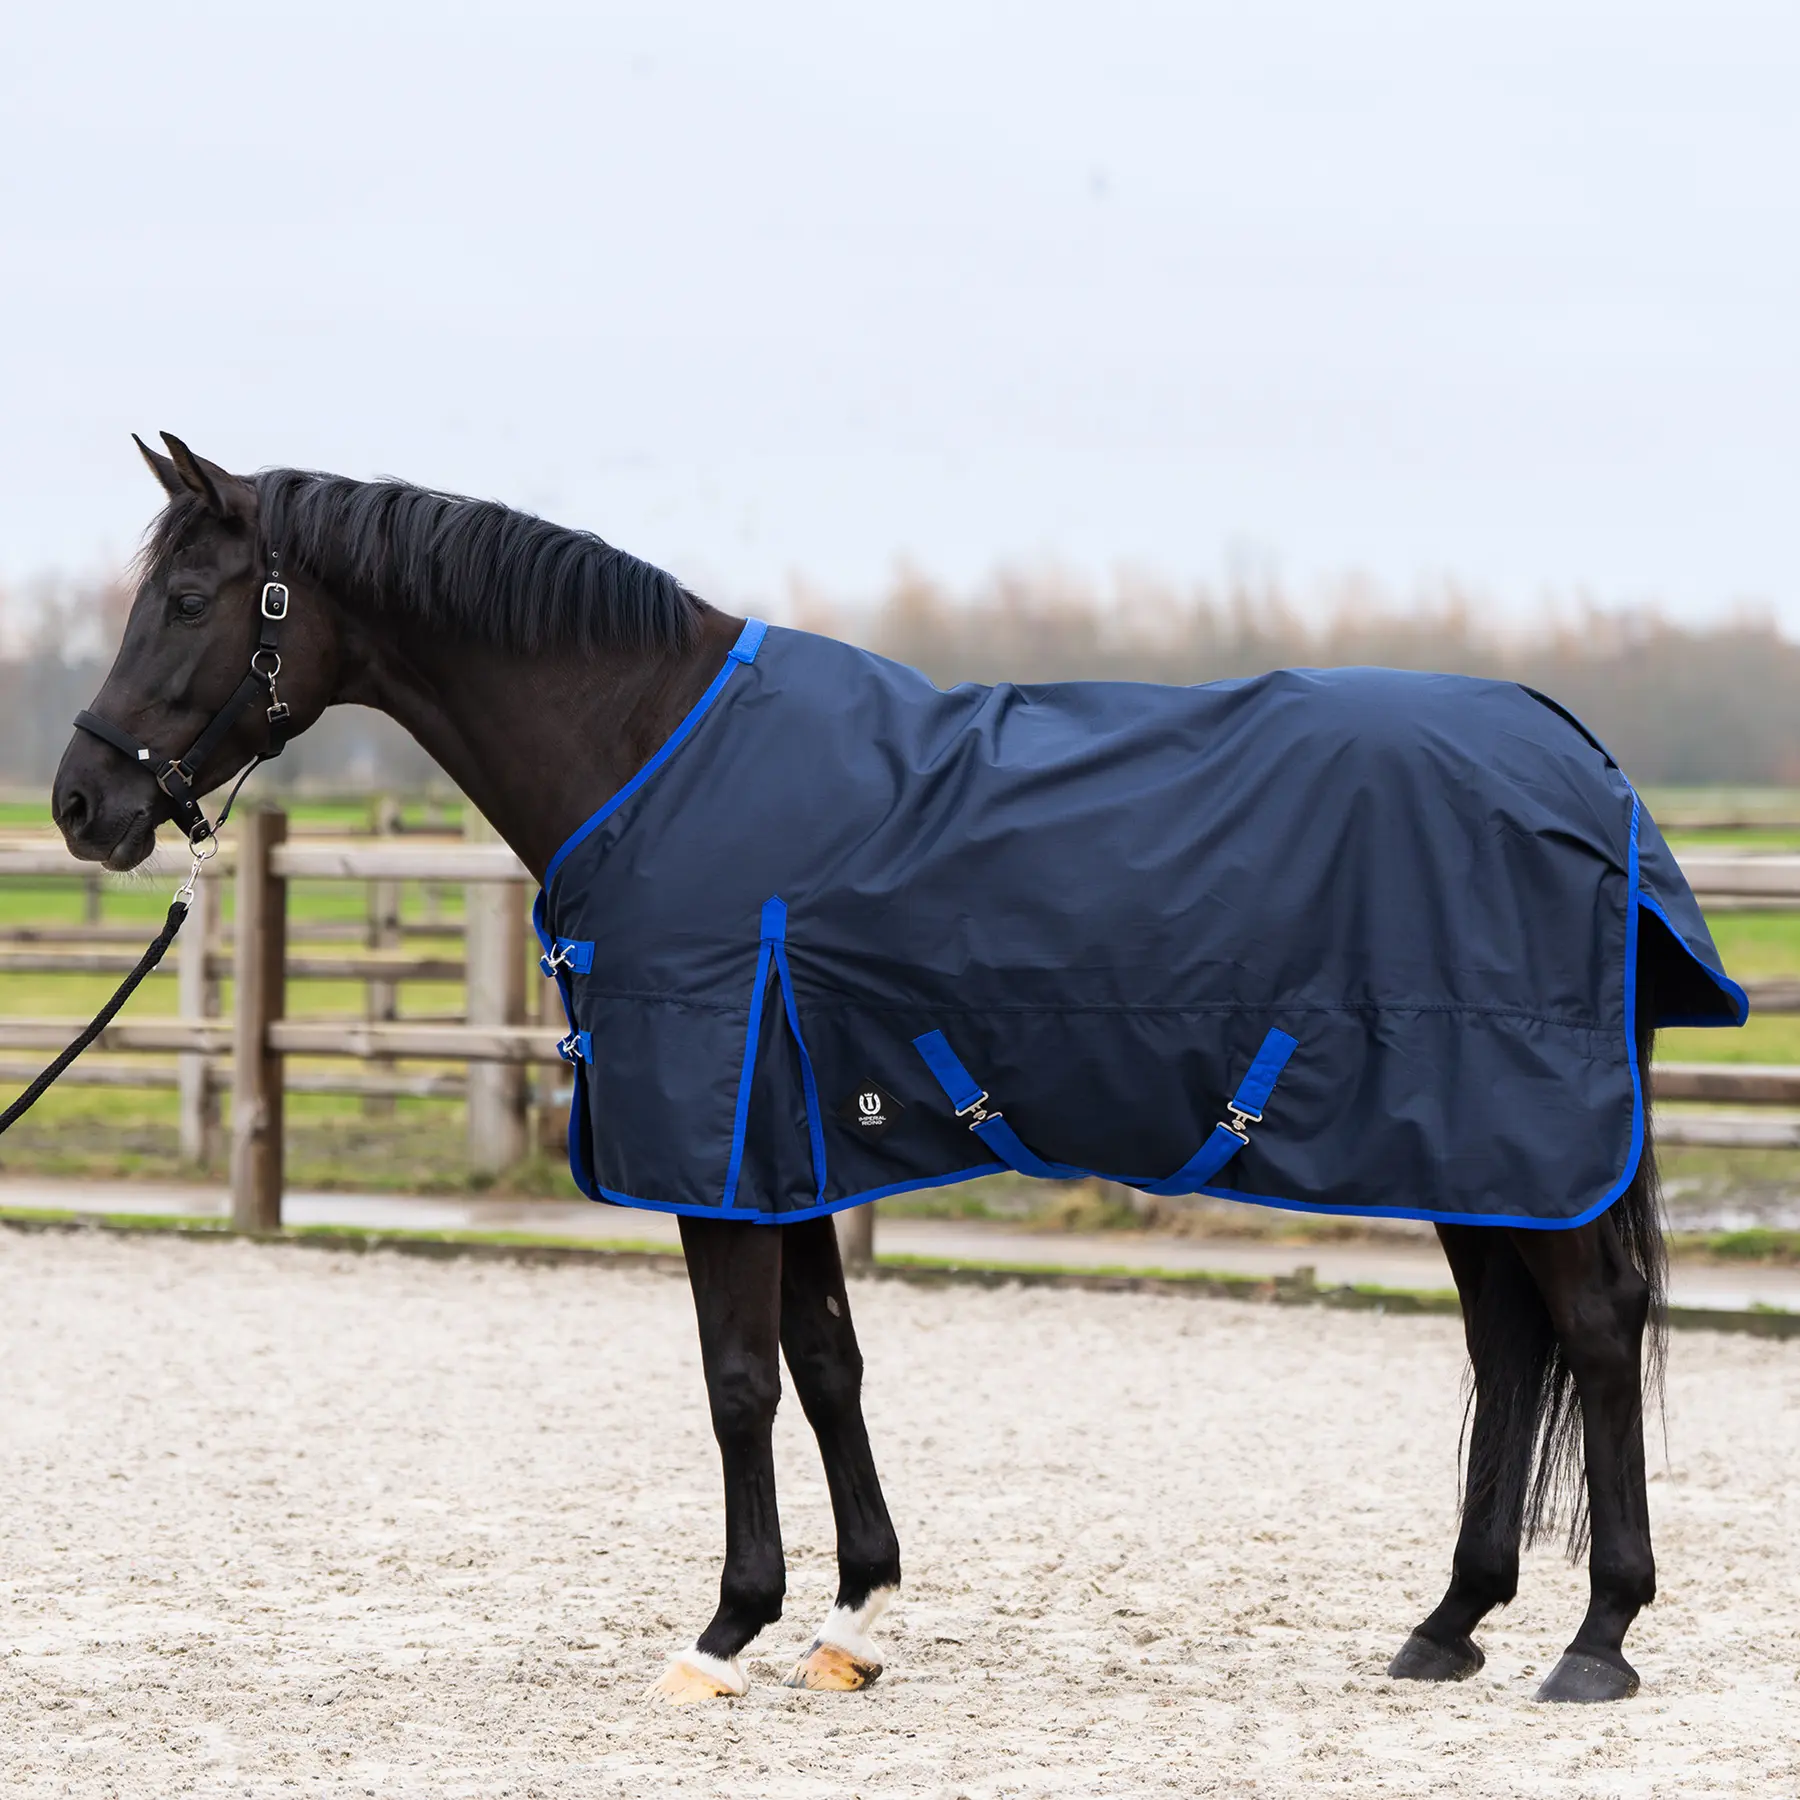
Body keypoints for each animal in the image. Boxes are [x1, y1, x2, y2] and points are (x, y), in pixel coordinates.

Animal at [51, 433, 1720, 1706]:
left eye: (188, 600)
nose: (79, 804)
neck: (656, 754)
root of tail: (1583, 767)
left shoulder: (721, 1148)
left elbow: (736, 1381)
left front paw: (725, 1634)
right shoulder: (787, 1143)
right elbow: (828, 1363)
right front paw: (852, 1619)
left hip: (1519, 1134)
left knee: (1592, 1330)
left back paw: (1597, 1637)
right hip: (1479, 1152)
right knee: (1511, 1345)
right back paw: (1451, 1625)